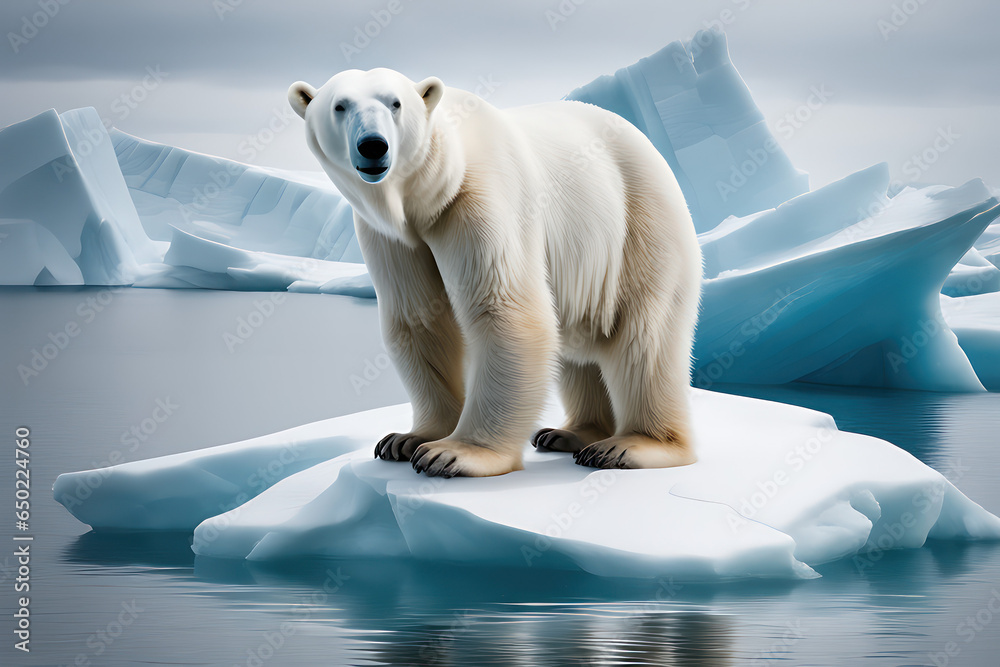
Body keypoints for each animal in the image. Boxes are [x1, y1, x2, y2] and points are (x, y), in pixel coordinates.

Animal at [288, 68, 702, 478]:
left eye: (395, 103)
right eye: (340, 106)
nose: (373, 146)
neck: (430, 189)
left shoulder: (479, 199)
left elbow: (505, 311)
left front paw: (453, 454)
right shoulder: (391, 237)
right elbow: (419, 318)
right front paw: (407, 439)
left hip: (641, 225)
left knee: (643, 335)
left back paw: (630, 445)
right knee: (577, 343)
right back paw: (570, 433)